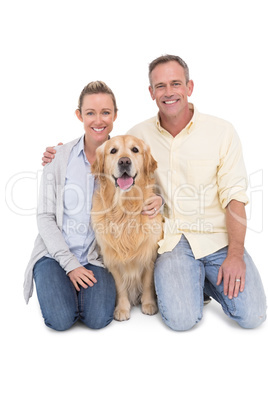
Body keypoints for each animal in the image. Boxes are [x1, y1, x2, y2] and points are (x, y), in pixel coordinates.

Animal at [91, 135, 163, 320]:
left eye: (135, 149)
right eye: (113, 151)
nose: (124, 161)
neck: (126, 208)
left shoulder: (149, 255)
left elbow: (147, 283)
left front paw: (149, 305)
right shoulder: (112, 258)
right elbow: (120, 287)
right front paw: (122, 309)